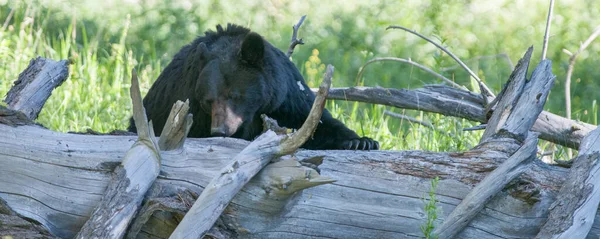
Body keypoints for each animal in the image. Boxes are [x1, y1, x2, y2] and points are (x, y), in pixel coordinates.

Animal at [129, 22, 378, 149]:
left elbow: (314, 121)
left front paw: (361, 141)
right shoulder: (189, 102)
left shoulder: (286, 97)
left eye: (235, 95)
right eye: (208, 100)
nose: (220, 130)